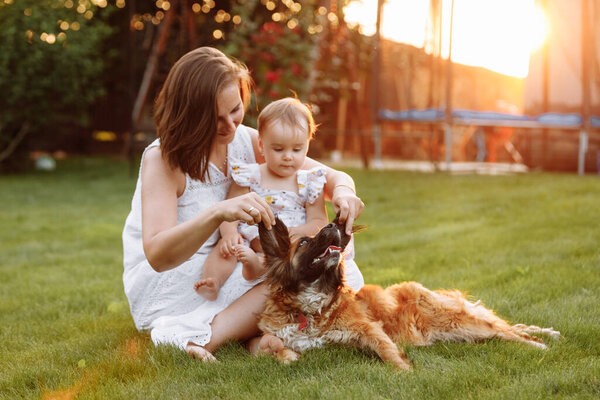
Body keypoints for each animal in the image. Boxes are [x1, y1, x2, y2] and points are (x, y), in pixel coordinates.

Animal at [255, 217, 560, 370]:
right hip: (457, 331)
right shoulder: (279, 335)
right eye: (304, 242)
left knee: (506, 332)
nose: (332, 225)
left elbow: (388, 352)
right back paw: (547, 334)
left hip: (457, 323)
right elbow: (269, 349)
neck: (309, 308)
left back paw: (540, 344)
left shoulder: (368, 329)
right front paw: (287, 357)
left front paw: (405, 372)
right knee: (506, 327)